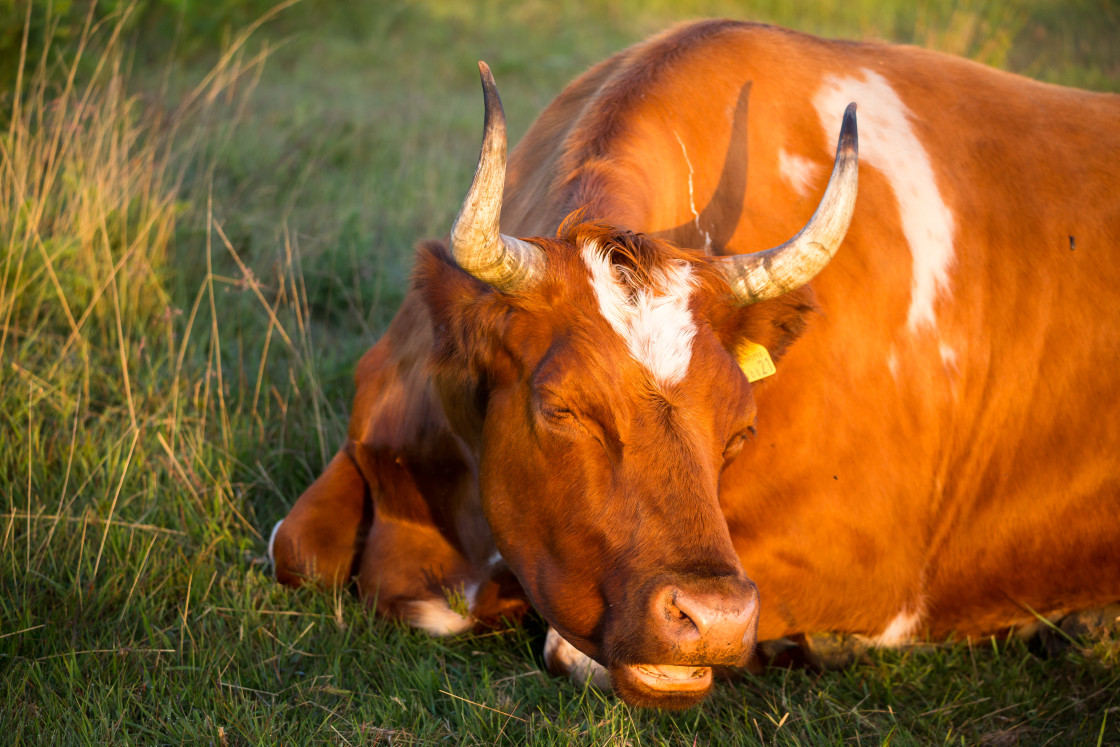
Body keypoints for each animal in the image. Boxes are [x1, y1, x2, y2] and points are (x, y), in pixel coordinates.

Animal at [268, 17, 1120, 707]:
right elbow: (293, 546)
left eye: (742, 428)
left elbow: (570, 646)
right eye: (562, 407)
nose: (715, 619)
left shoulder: (875, 567)